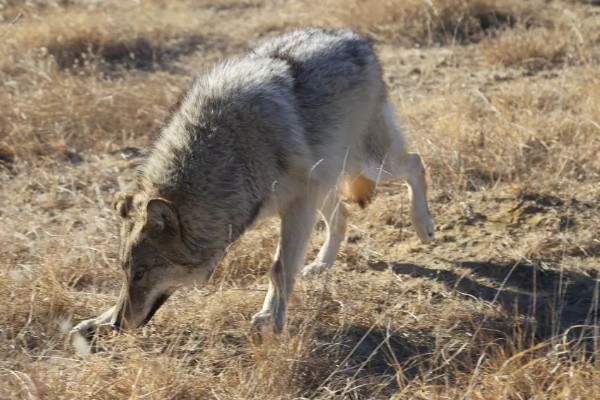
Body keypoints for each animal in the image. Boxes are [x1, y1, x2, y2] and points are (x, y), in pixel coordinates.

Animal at [70, 28, 434, 346]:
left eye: (143, 273)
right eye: (126, 272)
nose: (118, 325)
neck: (230, 151)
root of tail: (355, 37)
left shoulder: (297, 203)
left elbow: (279, 269)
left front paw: (271, 320)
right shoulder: (299, 201)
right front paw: (96, 322)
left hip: (369, 164)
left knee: (415, 163)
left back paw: (424, 226)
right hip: (327, 180)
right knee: (342, 216)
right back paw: (320, 266)